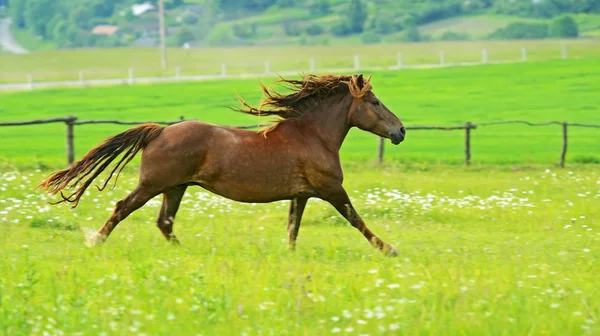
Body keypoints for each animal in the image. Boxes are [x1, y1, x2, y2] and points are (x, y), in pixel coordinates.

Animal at [37, 73, 406, 256]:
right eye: (375, 102)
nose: (400, 131)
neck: (312, 136)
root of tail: (160, 131)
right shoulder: (331, 189)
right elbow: (356, 219)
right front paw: (389, 249)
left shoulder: (301, 194)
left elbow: (293, 227)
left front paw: (289, 255)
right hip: (153, 185)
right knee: (122, 207)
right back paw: (96, 241)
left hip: (176, 187)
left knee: (164, 222)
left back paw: (184, 252)